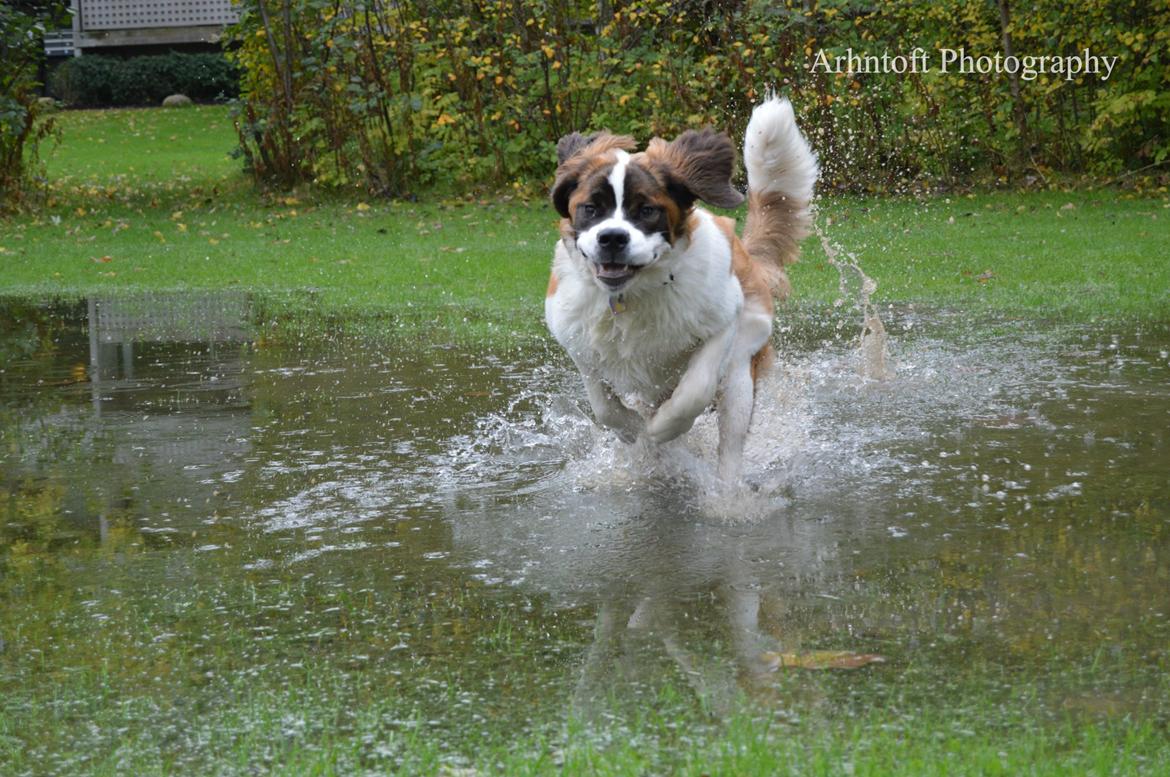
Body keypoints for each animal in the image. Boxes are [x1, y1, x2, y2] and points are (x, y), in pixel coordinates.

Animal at [542, 97, 819, 482]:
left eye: (647, 210)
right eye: (591, 209)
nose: (612, 238)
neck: (634, 295)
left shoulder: (725, 319)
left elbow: (695, 389)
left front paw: (662, 429)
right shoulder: (576, 341)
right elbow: (603, 405)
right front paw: (635, 431)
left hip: (743, 367)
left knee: (729, 441)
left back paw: (725, 490)